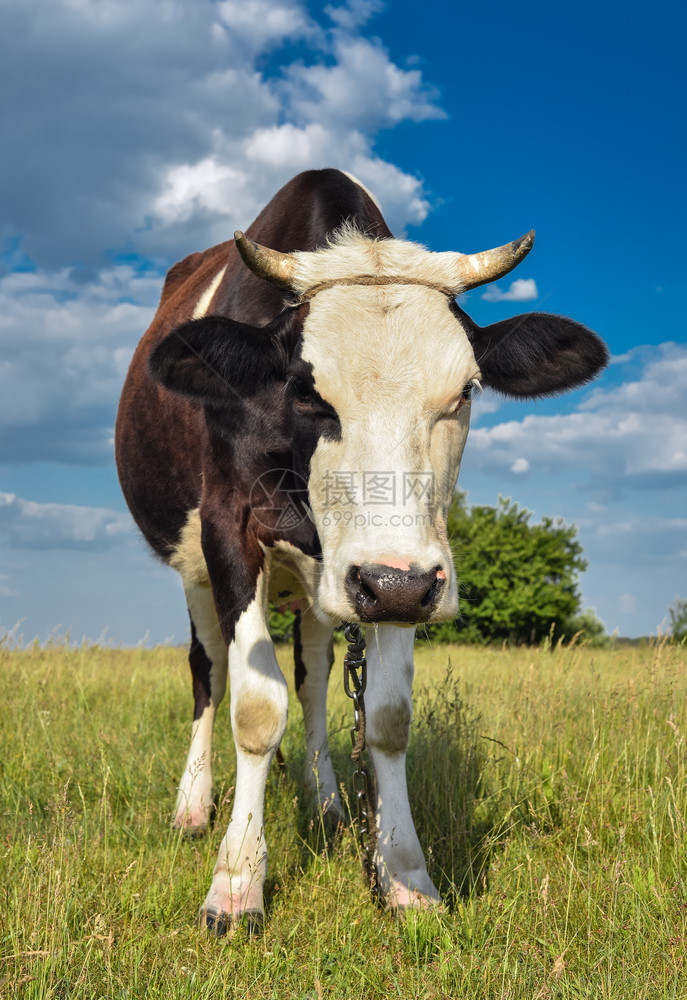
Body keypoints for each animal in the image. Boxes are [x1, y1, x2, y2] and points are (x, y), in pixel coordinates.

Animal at [115, 168, 612, 932]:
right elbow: (255, 708)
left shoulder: (406, 566)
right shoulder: (231, 530)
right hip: (195, 565)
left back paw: (324, 801)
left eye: (465, 391)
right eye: (304, 389)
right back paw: (194, 806)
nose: (392, 585)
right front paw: (236, 883)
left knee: (316, 674)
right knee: (208, 671)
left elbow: (384, 715)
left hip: (330, 586)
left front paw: (403, 875)